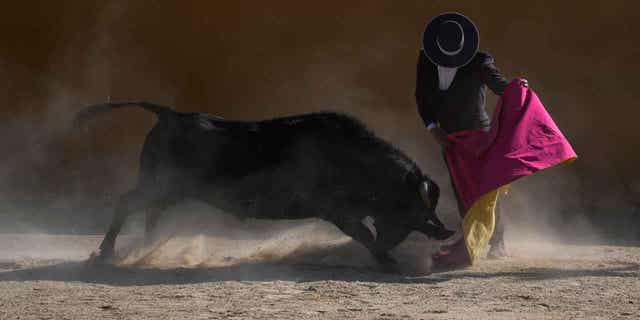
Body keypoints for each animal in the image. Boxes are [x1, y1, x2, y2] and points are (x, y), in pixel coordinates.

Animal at [75, 102, 456, 268]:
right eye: (413, 201)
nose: (445, 229)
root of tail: (170, 114)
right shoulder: (338, 211)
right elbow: (365, 234)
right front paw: (387, 261)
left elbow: (369, 234)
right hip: (159, 184)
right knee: (127, 202)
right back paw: (106, 253)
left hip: (166, 188)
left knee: (150, 212)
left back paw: (145, 248)